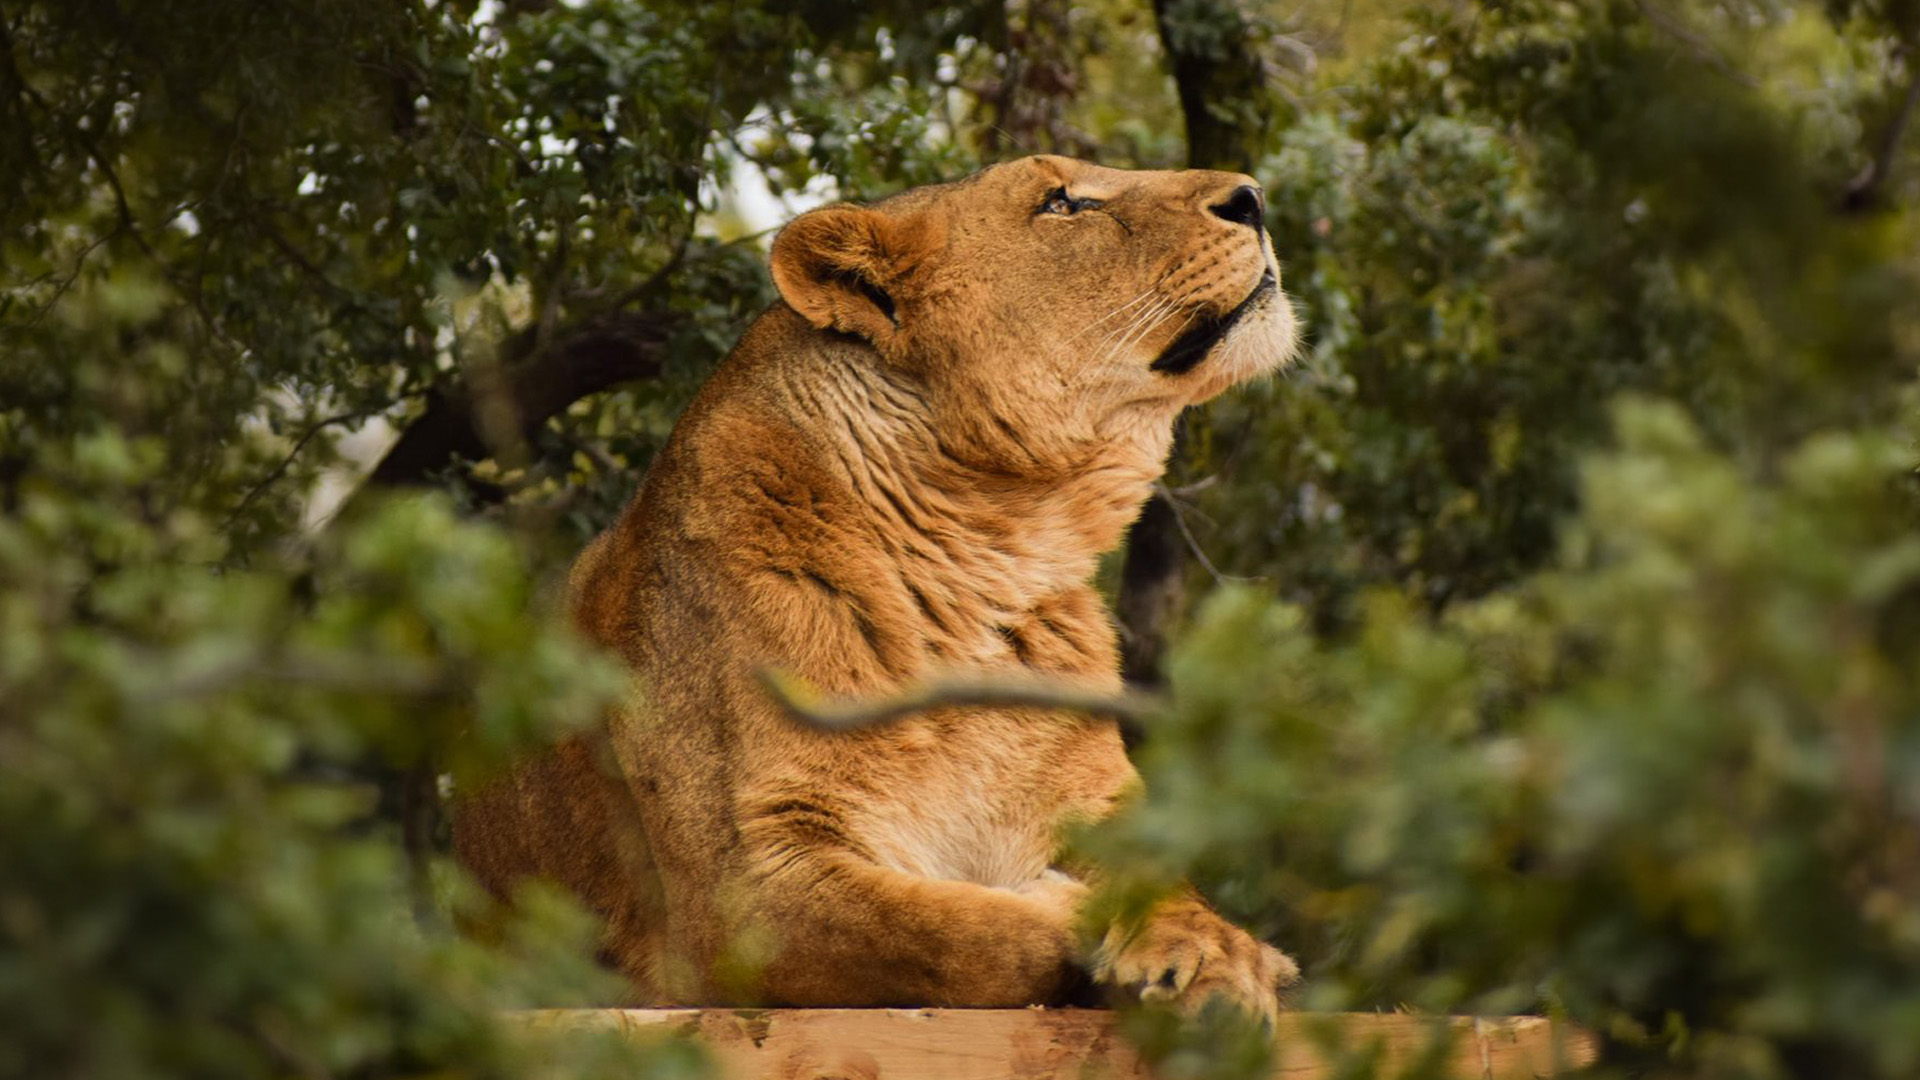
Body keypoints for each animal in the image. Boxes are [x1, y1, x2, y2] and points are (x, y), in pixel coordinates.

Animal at [453, 154, 1302, 1019]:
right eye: (1061, 202)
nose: (1254, 198)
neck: (991, 552)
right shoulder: (733, 898)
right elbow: (966, 938)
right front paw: (1078, 916)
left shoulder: (1095, 809)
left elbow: (1169, 892)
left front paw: (1216, 960)